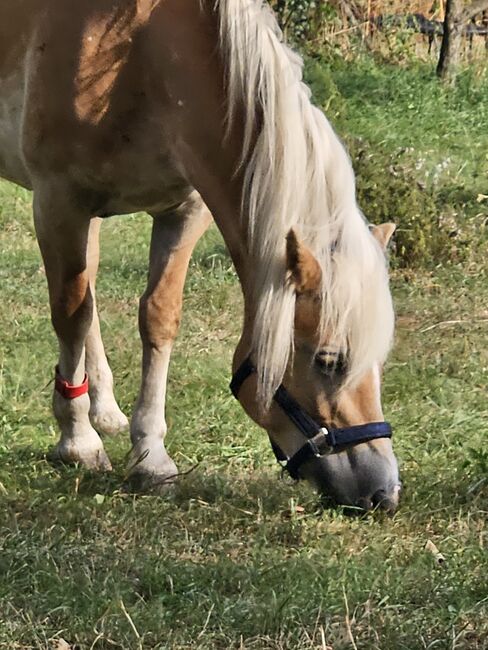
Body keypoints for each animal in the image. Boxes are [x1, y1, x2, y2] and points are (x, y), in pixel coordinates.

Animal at [0, 0, 400, 512]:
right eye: (329, 361)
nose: (384, 491)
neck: (137, 53)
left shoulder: (184, 211)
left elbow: (157, 318)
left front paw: (150, 456)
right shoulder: (58, 202)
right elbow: (71, 316)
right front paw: (78, 441)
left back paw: (105, 408)